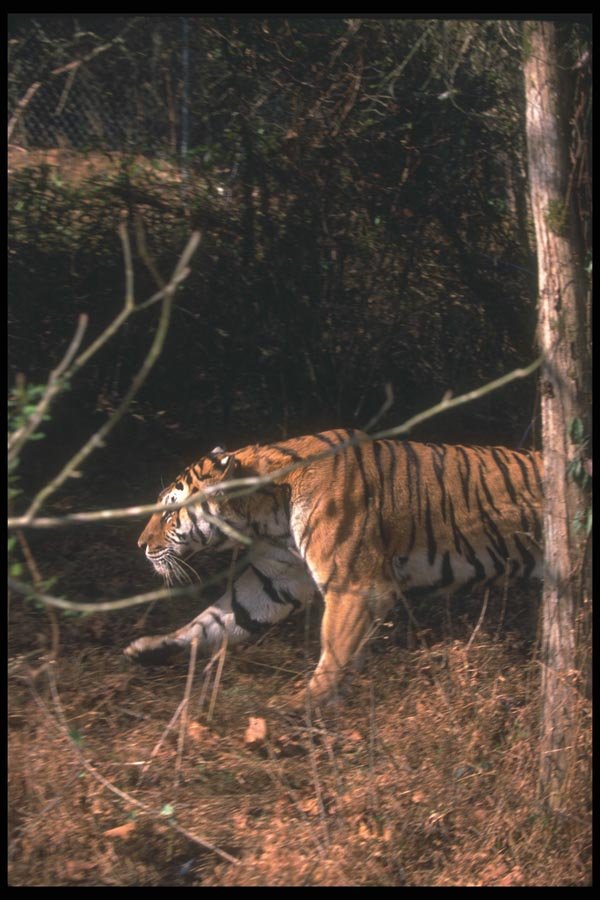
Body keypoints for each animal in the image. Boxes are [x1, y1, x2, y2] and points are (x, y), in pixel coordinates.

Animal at [125, 428, 543, 707]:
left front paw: (300, 710)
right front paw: (150, 648)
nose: (140, 545)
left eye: (170, 512)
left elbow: (335, 650)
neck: (264, 516)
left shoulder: (355, 585)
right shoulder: (274, 579)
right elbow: (215, 620)